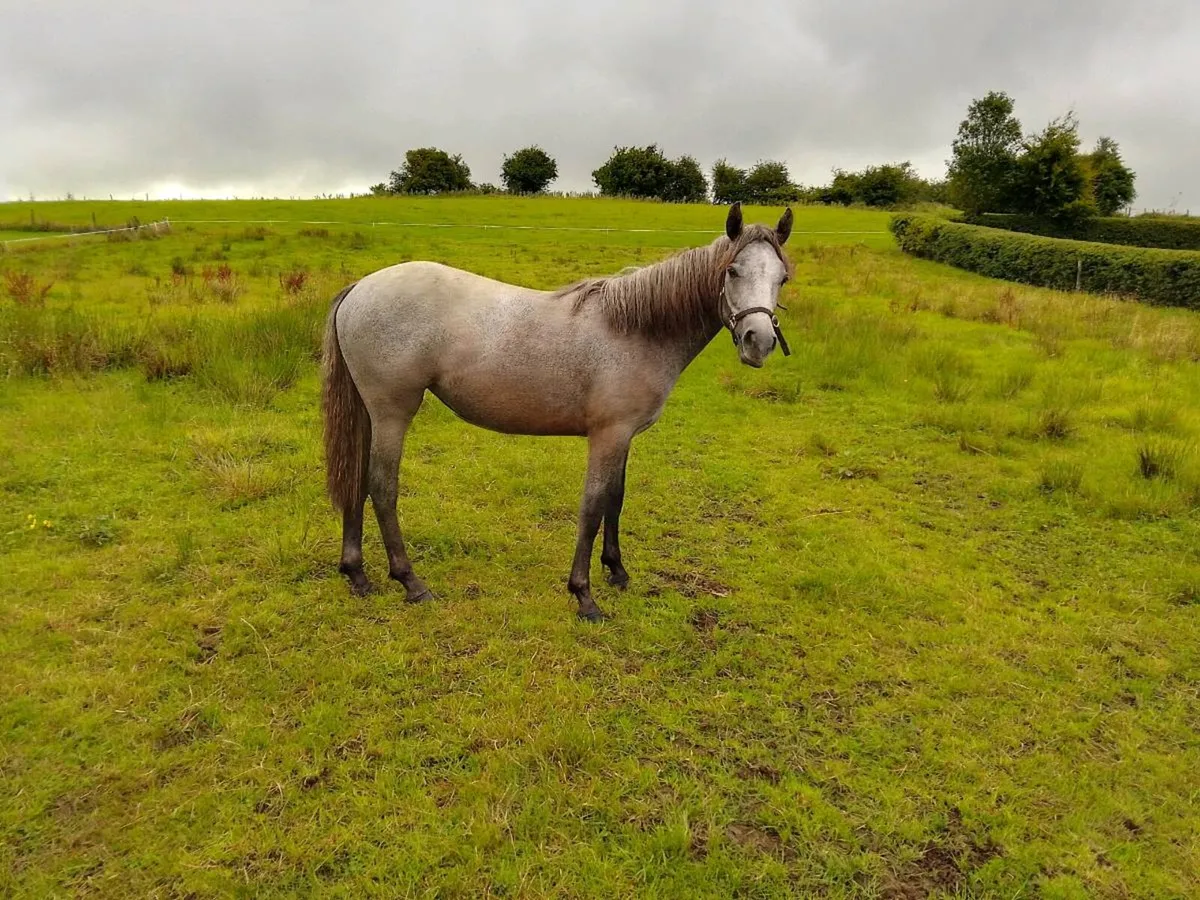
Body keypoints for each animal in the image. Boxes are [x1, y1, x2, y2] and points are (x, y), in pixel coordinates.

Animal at [320, 201, 795, 622]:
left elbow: (616, 499)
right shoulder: (608, 435)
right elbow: (592, 505)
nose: (758, 341)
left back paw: (357, 574)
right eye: (732, 270)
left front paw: (617, 572)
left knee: (356, 479)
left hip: (369, 414)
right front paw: (584, 596)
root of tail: (360, 289)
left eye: (783, 277)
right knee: (382, 487)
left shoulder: (623, 437)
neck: (637, 329)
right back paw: (411, 582)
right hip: (392, 413)